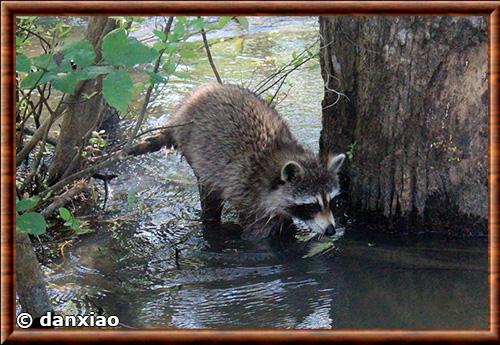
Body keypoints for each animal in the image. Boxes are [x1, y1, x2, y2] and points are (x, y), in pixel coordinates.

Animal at [166, 83, 346, 239]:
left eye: (332, 201)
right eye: (312, 206)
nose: (331, 230)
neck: (279, 155)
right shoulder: (249, 196)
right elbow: (257, 237)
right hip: (197, 156)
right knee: (210, 196)